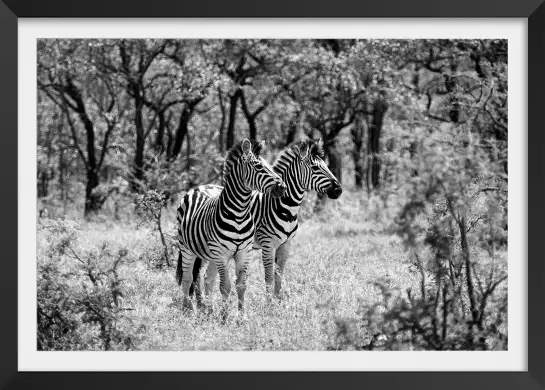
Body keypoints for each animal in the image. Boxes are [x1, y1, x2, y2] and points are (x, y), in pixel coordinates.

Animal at [175, 139, 286, 318]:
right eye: (258, 167)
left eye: (269, 165)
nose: (282, 187)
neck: (239, 213)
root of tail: (198, 187)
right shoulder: (222, 254)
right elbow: (225, 286)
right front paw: (224, 316)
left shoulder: (243, 253)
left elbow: (241, 285)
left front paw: (241, 316)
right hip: (187, 248)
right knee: (187, 278)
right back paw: (188, 310)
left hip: (210, 254)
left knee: (207, 279)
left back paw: (208, 309)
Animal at [189, 139, 338, 298]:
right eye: (315, 168)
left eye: (326, 166)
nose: (338, 190)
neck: (284, 208)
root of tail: (201, 187)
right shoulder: (268, 244)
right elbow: (269, 277)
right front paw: (269, 302)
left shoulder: (286, 245)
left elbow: (279, 276)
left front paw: (278, 301)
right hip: (205, 248)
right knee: (197, 276)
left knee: (206, 277)